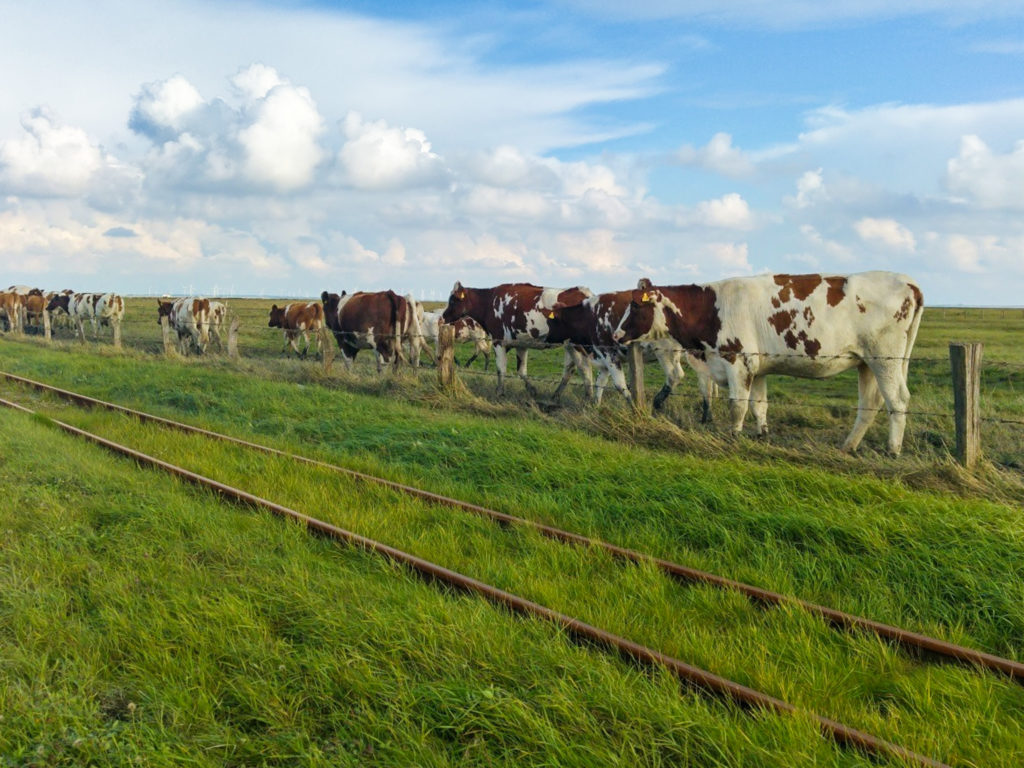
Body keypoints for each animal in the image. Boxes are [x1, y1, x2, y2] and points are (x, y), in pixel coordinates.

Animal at [440, 280, 593, 397]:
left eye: (453, 300)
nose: (442, 317)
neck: (489, 302)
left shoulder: (498, 341)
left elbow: (501, 369)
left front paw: (499, 392)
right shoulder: (521, 343)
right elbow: (521, 371)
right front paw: (532, 390)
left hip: (577, 345)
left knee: (584, 369)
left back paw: (589, 399)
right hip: (569, 345)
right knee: (569, 370)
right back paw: (556, 396)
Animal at [610, 270, 925, 454]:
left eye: (635, 305)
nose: (616, 334)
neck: (711, 308)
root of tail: (908, 282)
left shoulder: (738, 360)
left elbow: (737, 405)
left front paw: (733, 435)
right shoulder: (758, 368)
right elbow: (758, 405)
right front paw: (762, 434)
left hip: (884, 359)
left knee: (897, 401)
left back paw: (892, 450)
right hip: (867, 363)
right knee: (870, 404)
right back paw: (848, 446)